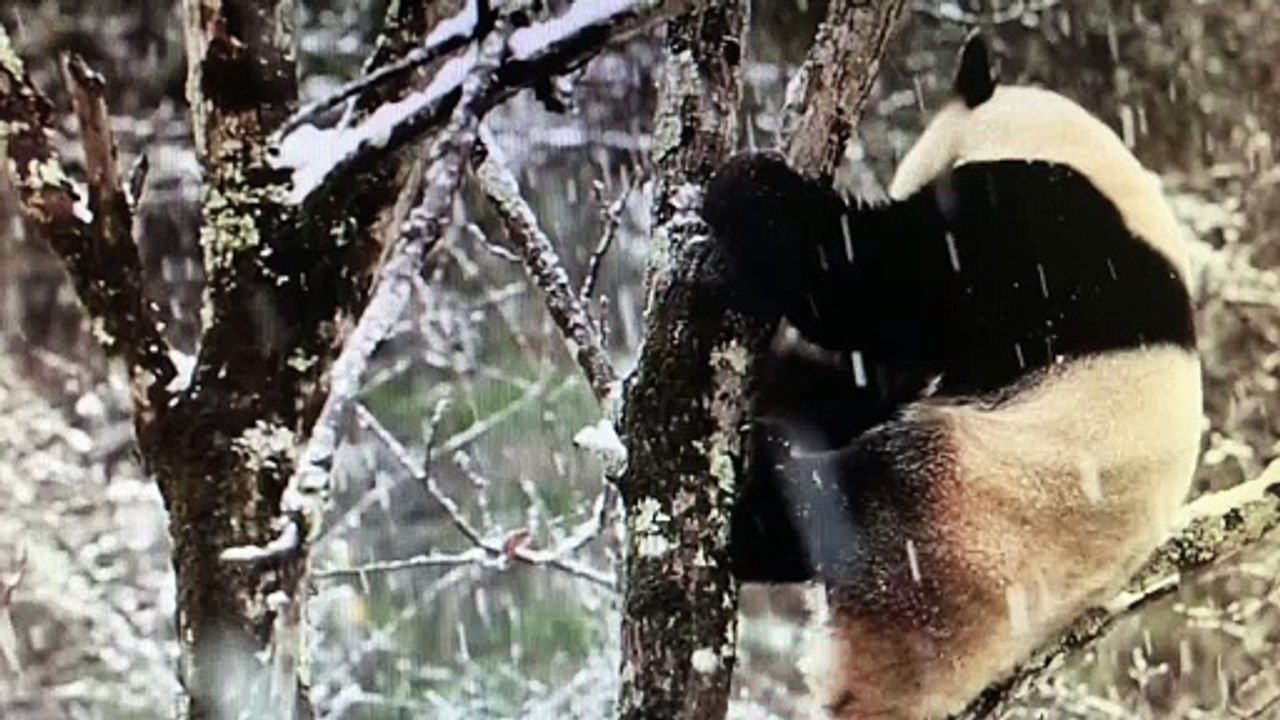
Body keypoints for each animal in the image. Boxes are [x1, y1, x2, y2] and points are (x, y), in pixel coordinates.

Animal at [701, 34, 1201, 720]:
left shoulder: (1039, 232)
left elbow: (886, 289)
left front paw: (745, 186)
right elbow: (884, 371)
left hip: (970, 508)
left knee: (851, 500)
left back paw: (761, 498)